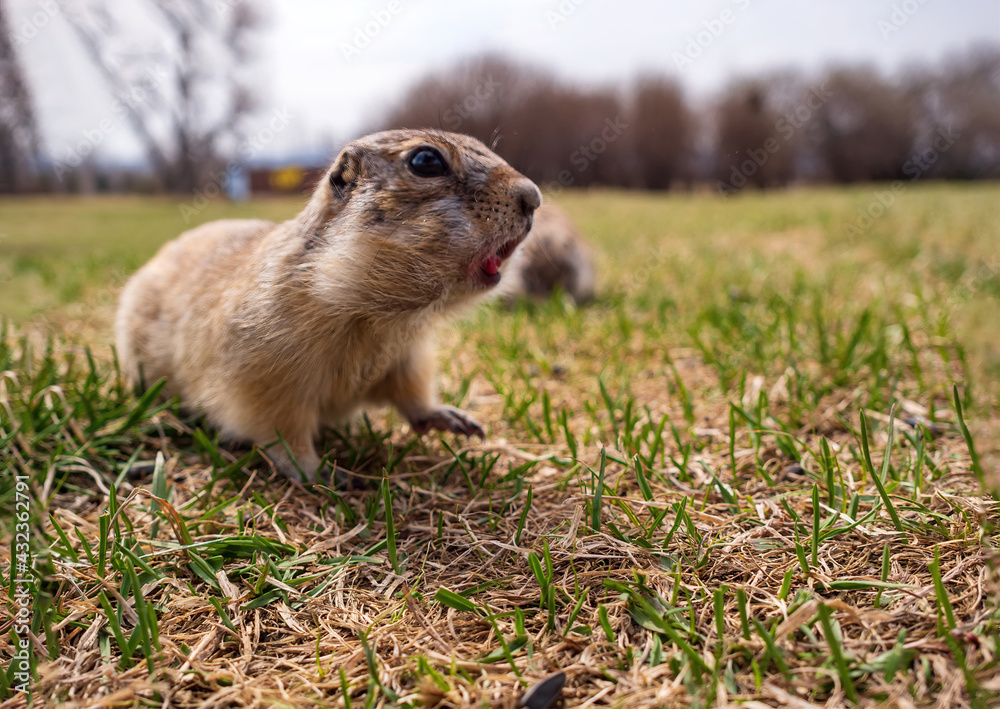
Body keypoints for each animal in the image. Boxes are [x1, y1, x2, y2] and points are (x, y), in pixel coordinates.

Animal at [115, 128, 548, 482]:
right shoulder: (264, 371)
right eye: (426, 161)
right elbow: (280, 428)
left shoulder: (408, 354)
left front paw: (452, 418)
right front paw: (322, 472)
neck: (380, 313)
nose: (533, 197)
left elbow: (412, 392)